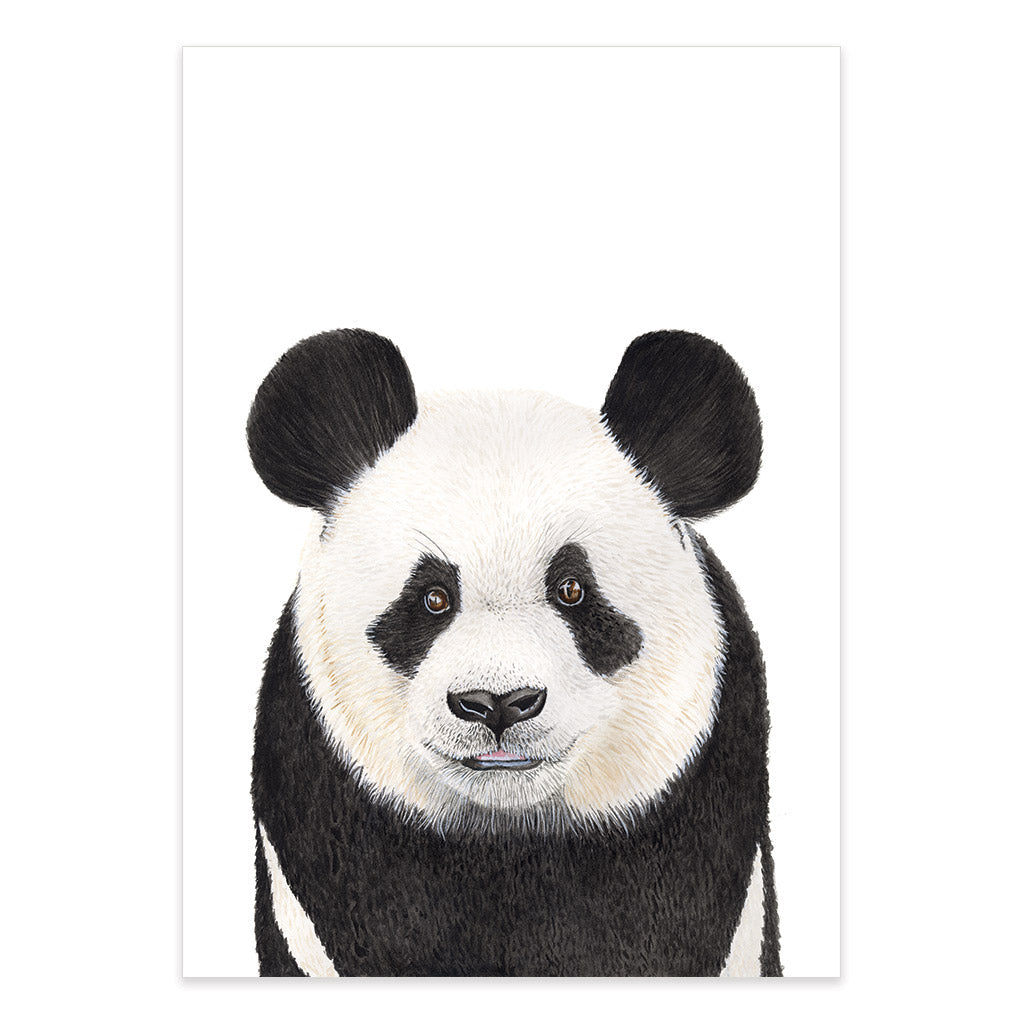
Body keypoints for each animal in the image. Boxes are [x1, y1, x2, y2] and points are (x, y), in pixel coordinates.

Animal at [248, 328, 781, 977]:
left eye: (572, 590)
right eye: (432, 598)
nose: (498, 703)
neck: (509, 833)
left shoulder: (697, 811)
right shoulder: (325, 815)